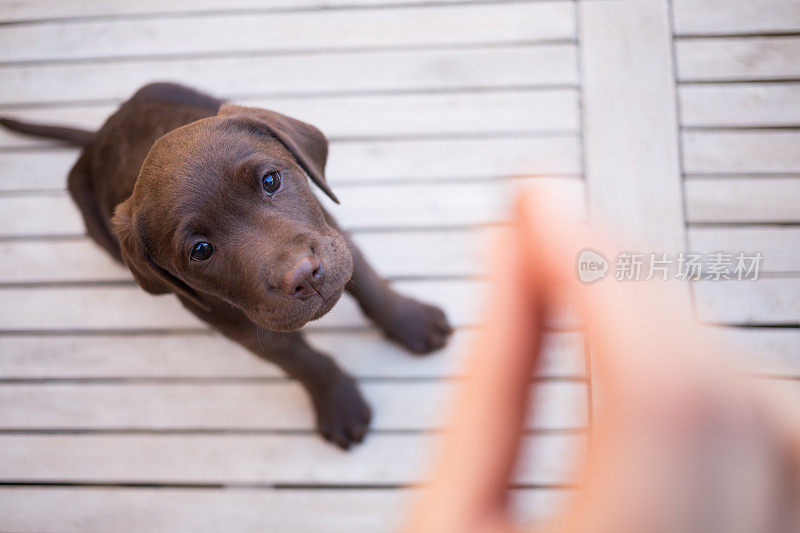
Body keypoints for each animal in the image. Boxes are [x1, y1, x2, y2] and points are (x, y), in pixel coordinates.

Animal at [0, 82, 454, 448]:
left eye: (270, 181)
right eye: (201, 250)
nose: (303, 276)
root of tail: (96, 138)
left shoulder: (331, 233)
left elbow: (370, 284)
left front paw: (410, 321)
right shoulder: (234, 321)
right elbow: (302, 360)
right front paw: (338, 402)